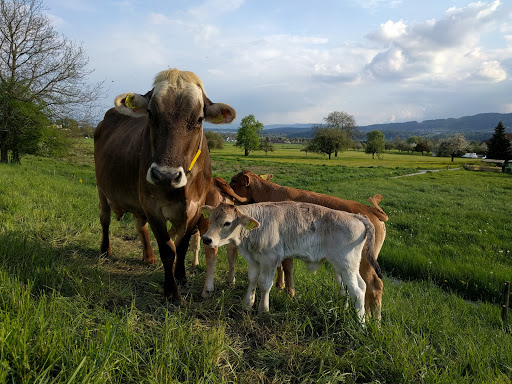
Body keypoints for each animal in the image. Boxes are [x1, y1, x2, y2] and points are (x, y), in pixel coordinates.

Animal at [95, 69, 236, 304]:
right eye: (151, 114)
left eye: (199, 119)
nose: (165, 175)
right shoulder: (153, 206)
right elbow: (168, 249)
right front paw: (170, 291)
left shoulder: (196, 208)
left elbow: (182, 245)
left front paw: (181, 277)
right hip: (102, 189)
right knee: (105, 219)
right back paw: (106, 250)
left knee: (139, 225)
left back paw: (149, 256)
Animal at [200, 202, 380, 322]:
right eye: (211, 219)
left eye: (227, 223)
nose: (207, 239)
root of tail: (356, 216)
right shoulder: (254, 260)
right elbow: (252, 281)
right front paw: (247, 304)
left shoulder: (270, 259)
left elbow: (264, 284)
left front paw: (263, 309)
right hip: (344, 267)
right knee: (355, 287)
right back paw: (343, 311)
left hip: (347, 265)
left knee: (357, 291)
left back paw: (360, 324)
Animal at [230, 170, 386, 320]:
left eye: (234, 181)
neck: (269, 193)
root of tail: (369, 211)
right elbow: (280, 267)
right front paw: (280, 285)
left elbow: (287, 267)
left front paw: (290, 292)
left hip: (362, 263)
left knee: (374, 286)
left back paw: (375, 321)